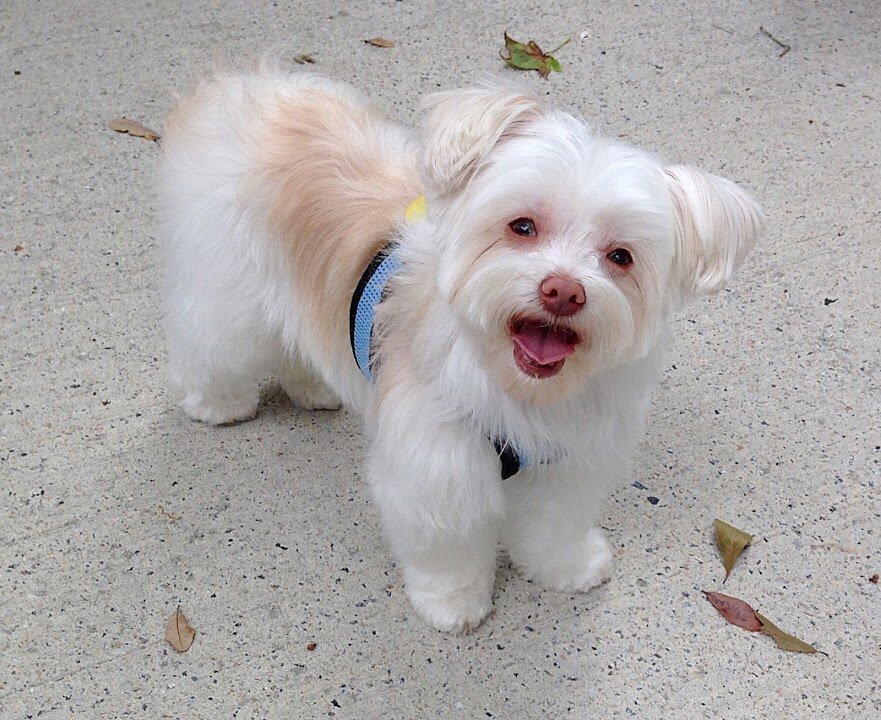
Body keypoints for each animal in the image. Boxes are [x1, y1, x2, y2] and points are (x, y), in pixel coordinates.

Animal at [160, 66, 764, 632]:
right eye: (522, 226)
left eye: (620, 256)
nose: (563, 291)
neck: (516, 388)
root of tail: (249, 85)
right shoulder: (437, 465)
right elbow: (446, 543)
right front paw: (452, 602)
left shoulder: (567, 460)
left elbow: (554, 524)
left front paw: (565, 568)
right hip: (231, 292)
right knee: (211, 341)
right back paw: (218, 403)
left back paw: (311, 385)